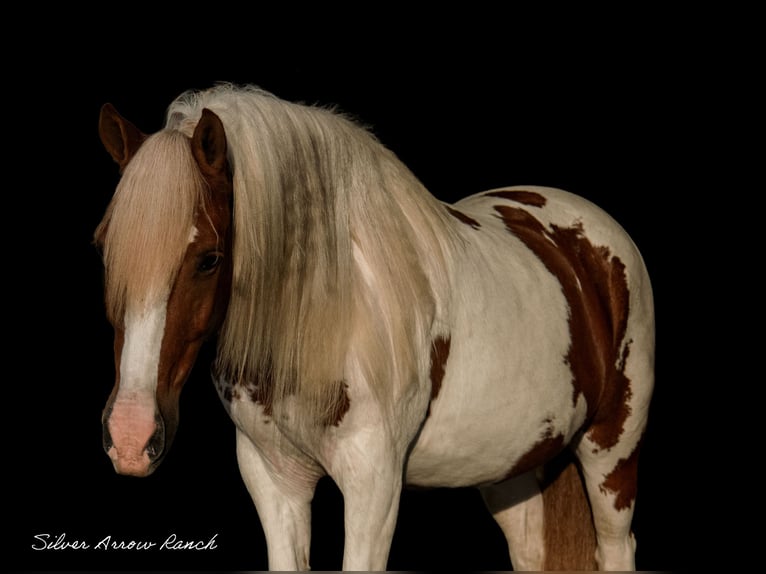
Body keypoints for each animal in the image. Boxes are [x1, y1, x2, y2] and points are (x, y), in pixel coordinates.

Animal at [94, 83, 656, 572]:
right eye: (104, 248)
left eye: (209, 259)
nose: (130, 436)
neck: (326, 317)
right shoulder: (274, 479)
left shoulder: (374, 485)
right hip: (511, 467)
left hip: (612, 450)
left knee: (616, 546)